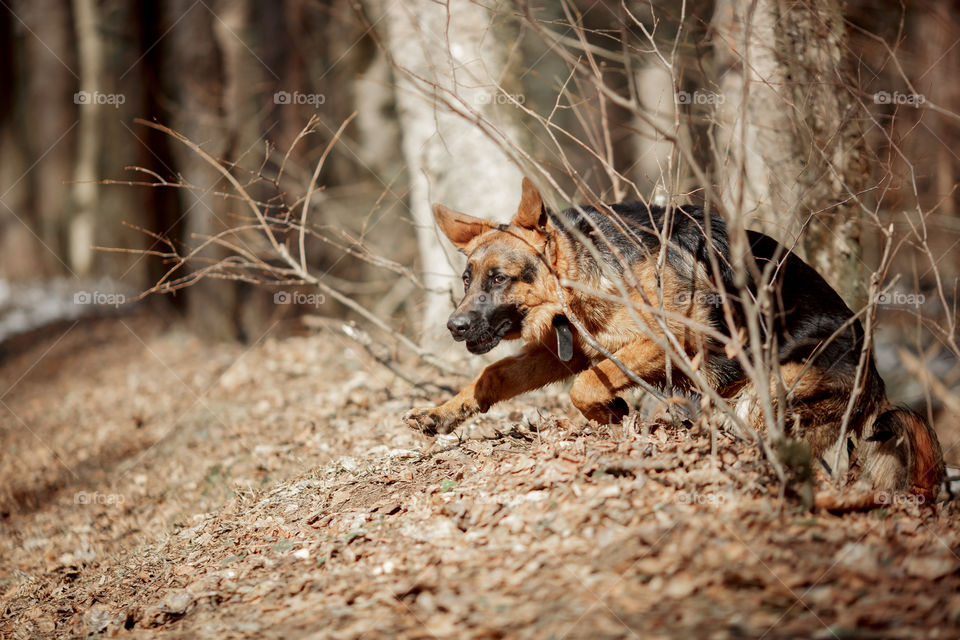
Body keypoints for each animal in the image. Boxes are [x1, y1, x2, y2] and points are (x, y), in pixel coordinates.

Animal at [404, 178, 944, 498]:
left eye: (499, 279)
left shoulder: (668, 340)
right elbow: (494, 374)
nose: (454, 326)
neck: (586, 279)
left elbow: (588, 384)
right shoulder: (563, 352)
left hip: (770, 390)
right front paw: (443, 412)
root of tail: (877, 386)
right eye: (467, 280)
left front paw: (613, 414)